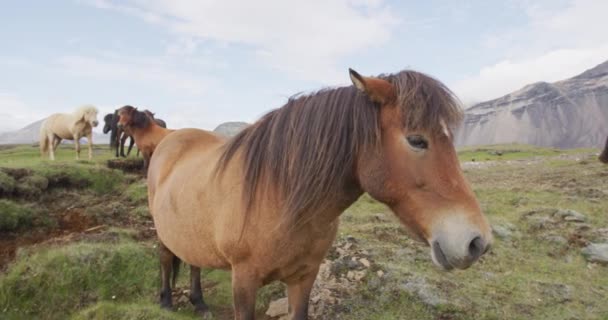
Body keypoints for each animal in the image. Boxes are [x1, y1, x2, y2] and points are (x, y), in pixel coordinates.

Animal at [147, 69, 494, 318]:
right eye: (417, 140)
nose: (477, 242)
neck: (278, 198)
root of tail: (169, 140)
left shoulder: (305, 277)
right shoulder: (243, 282)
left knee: (193, 260)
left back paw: (199, 303)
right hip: (164, 232)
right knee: (166, 257)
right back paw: (166, 301)